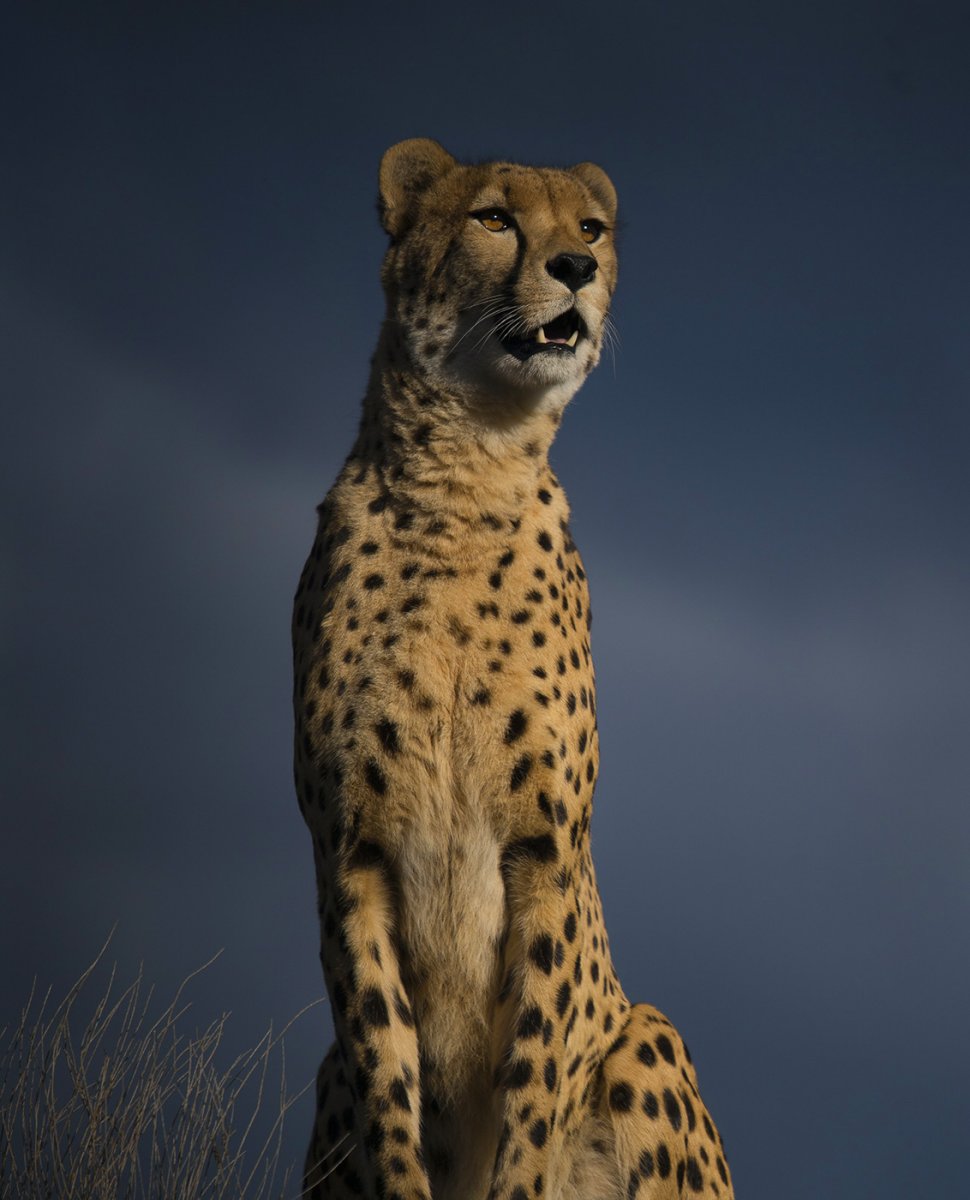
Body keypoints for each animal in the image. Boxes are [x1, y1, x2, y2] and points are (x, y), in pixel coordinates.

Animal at [292, 138, 735, 1200]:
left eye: (592, 228)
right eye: (494, 218)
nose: (575, 268)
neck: (467, 473)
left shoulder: (546, 852)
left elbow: (532, 1081)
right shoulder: (349, 855)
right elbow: (385, 1072)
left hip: (649, 1035)